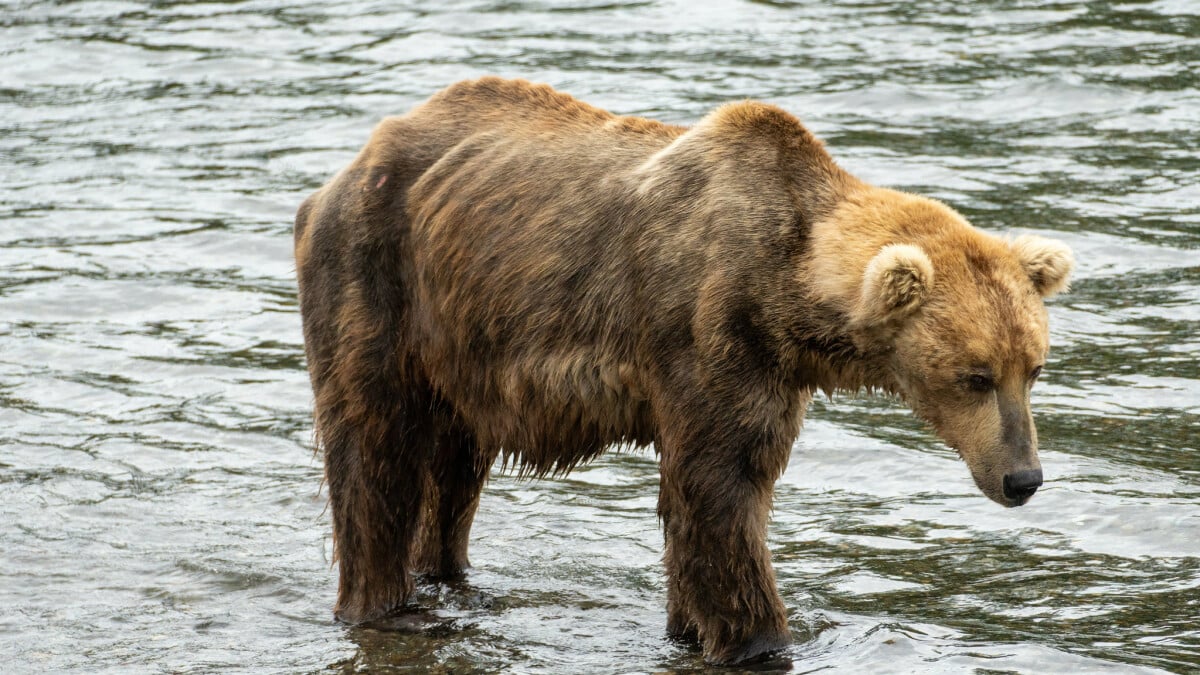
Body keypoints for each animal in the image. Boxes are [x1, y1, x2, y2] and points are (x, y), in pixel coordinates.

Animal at [295, 77, 1075, 662]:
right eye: (975, 375)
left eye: (1032, 368)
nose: (1024, 478)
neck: (788, 292)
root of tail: (347, 164)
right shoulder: (709, 330)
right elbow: (718, 493)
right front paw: (761, 637)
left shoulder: (772, 368)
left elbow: (715, 499)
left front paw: (689, 625)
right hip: (376, 279)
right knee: (375, 454)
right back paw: (385, 606)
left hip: (458, 342)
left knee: (455, 468)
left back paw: (451, 579)